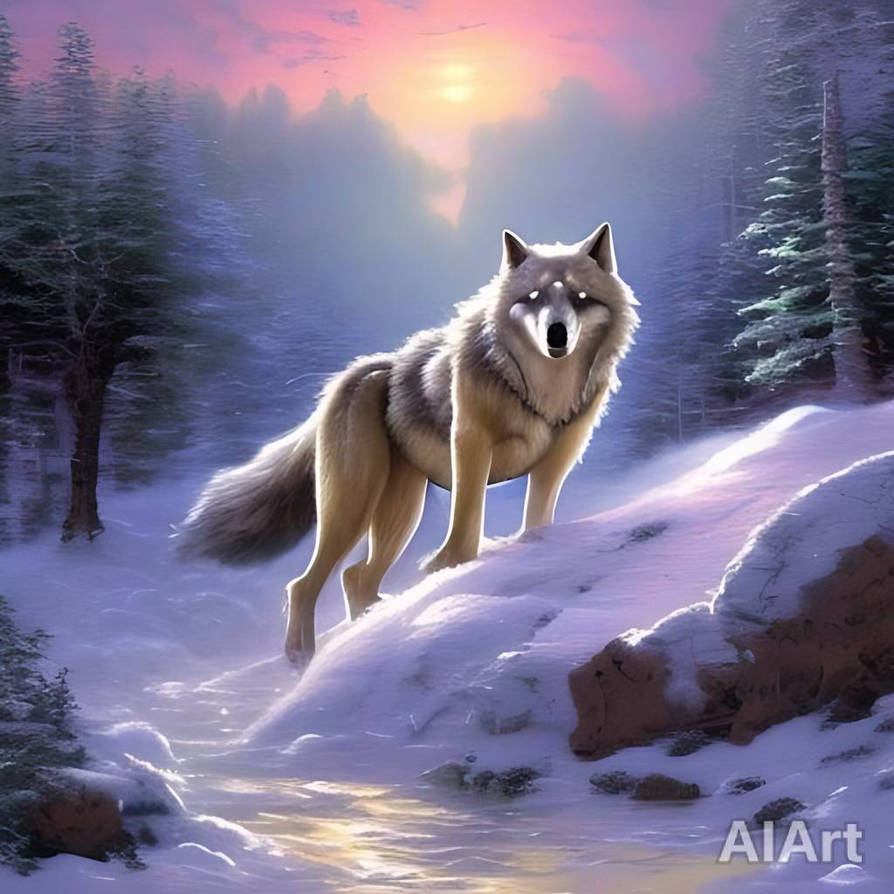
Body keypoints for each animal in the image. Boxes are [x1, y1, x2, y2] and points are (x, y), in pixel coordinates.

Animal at [178, 224, 639, 662]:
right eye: (535, 298)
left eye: (580, 298)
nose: (557, 336)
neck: (543, 390)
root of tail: (368, 368)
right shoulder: (470, 442)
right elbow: (466, 525)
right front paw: (449, 570)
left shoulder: (557, 461)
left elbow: (537, 521)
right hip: (355, 505)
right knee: (305, 583)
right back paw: (300, 659)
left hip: (401, 509)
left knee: (354, 577)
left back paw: (366, 636)